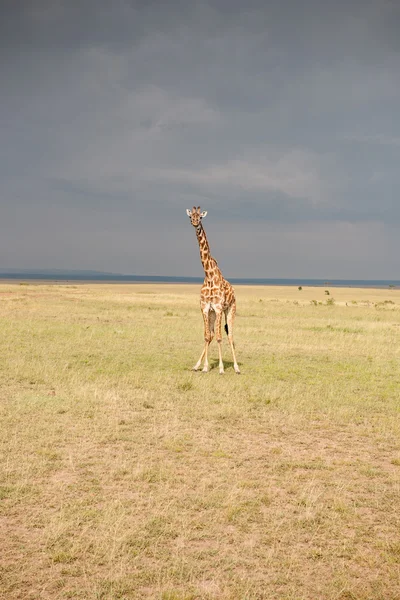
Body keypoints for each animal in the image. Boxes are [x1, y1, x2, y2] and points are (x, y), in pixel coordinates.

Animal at [186, 207, 239, 376]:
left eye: (200, 217)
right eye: (190, 217)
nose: (195, 223)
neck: (209, 275)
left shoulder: (218, 308)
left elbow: (220, 338)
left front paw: (221, 368)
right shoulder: (205, 308)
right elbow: (206, 336)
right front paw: (203, 366)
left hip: (230, 309)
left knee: (230, 336)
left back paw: (237, 367)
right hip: (212, 314)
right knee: (212, 335)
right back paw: (198, 365)